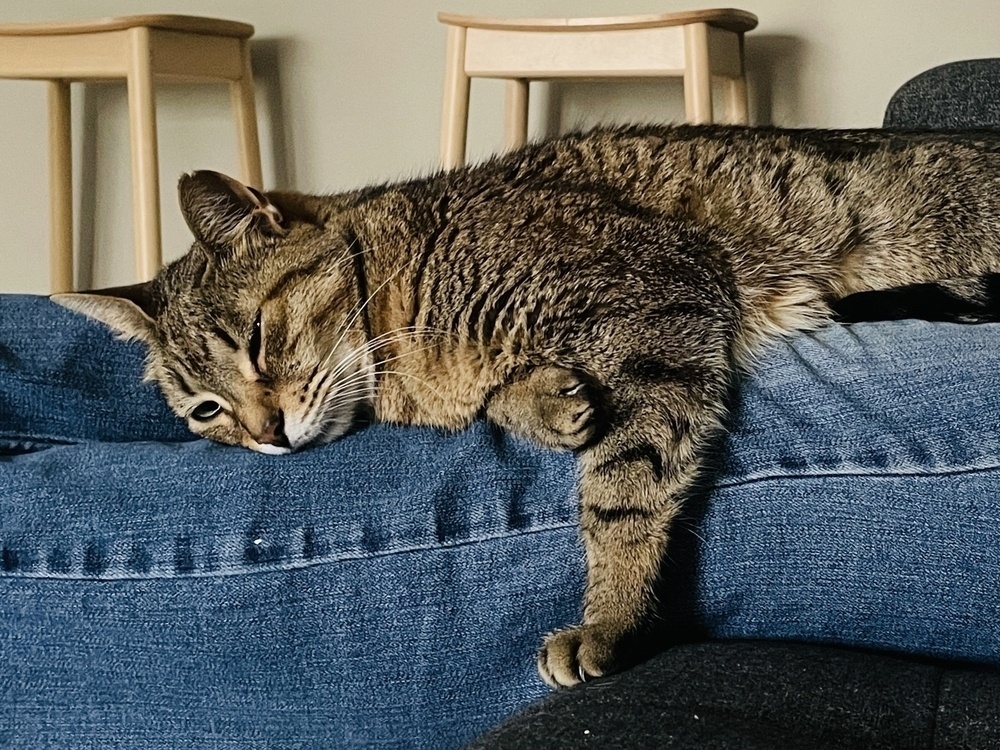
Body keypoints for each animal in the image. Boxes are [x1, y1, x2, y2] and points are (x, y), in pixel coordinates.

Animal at [52, 123, 1000, 688]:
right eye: (205, 411)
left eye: (257, 338)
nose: (267, 436)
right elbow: (520, 403)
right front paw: (543, 401)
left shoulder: (660, 294)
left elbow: (621, 489)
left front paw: (611, 617)